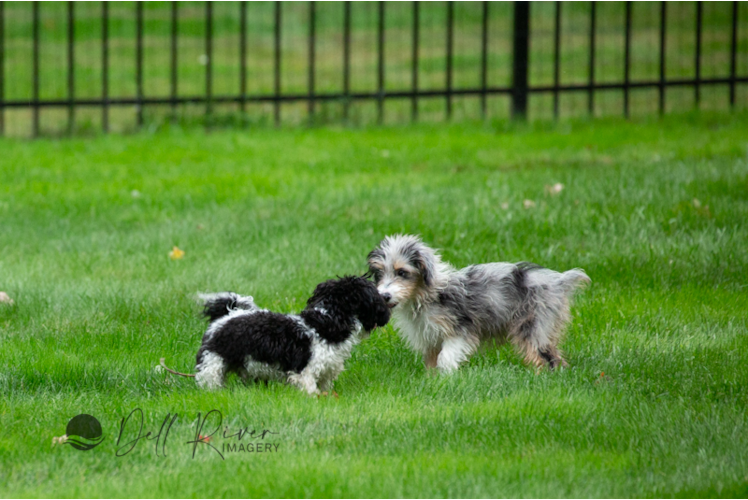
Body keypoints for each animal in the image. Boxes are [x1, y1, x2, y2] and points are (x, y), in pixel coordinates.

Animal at [193, 276, 392, 396]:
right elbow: (310, 389)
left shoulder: (327, 370)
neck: (325, 322)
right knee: (209, 378)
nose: (386, 304)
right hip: (213, 361)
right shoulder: (304, 371)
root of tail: (228, 315)